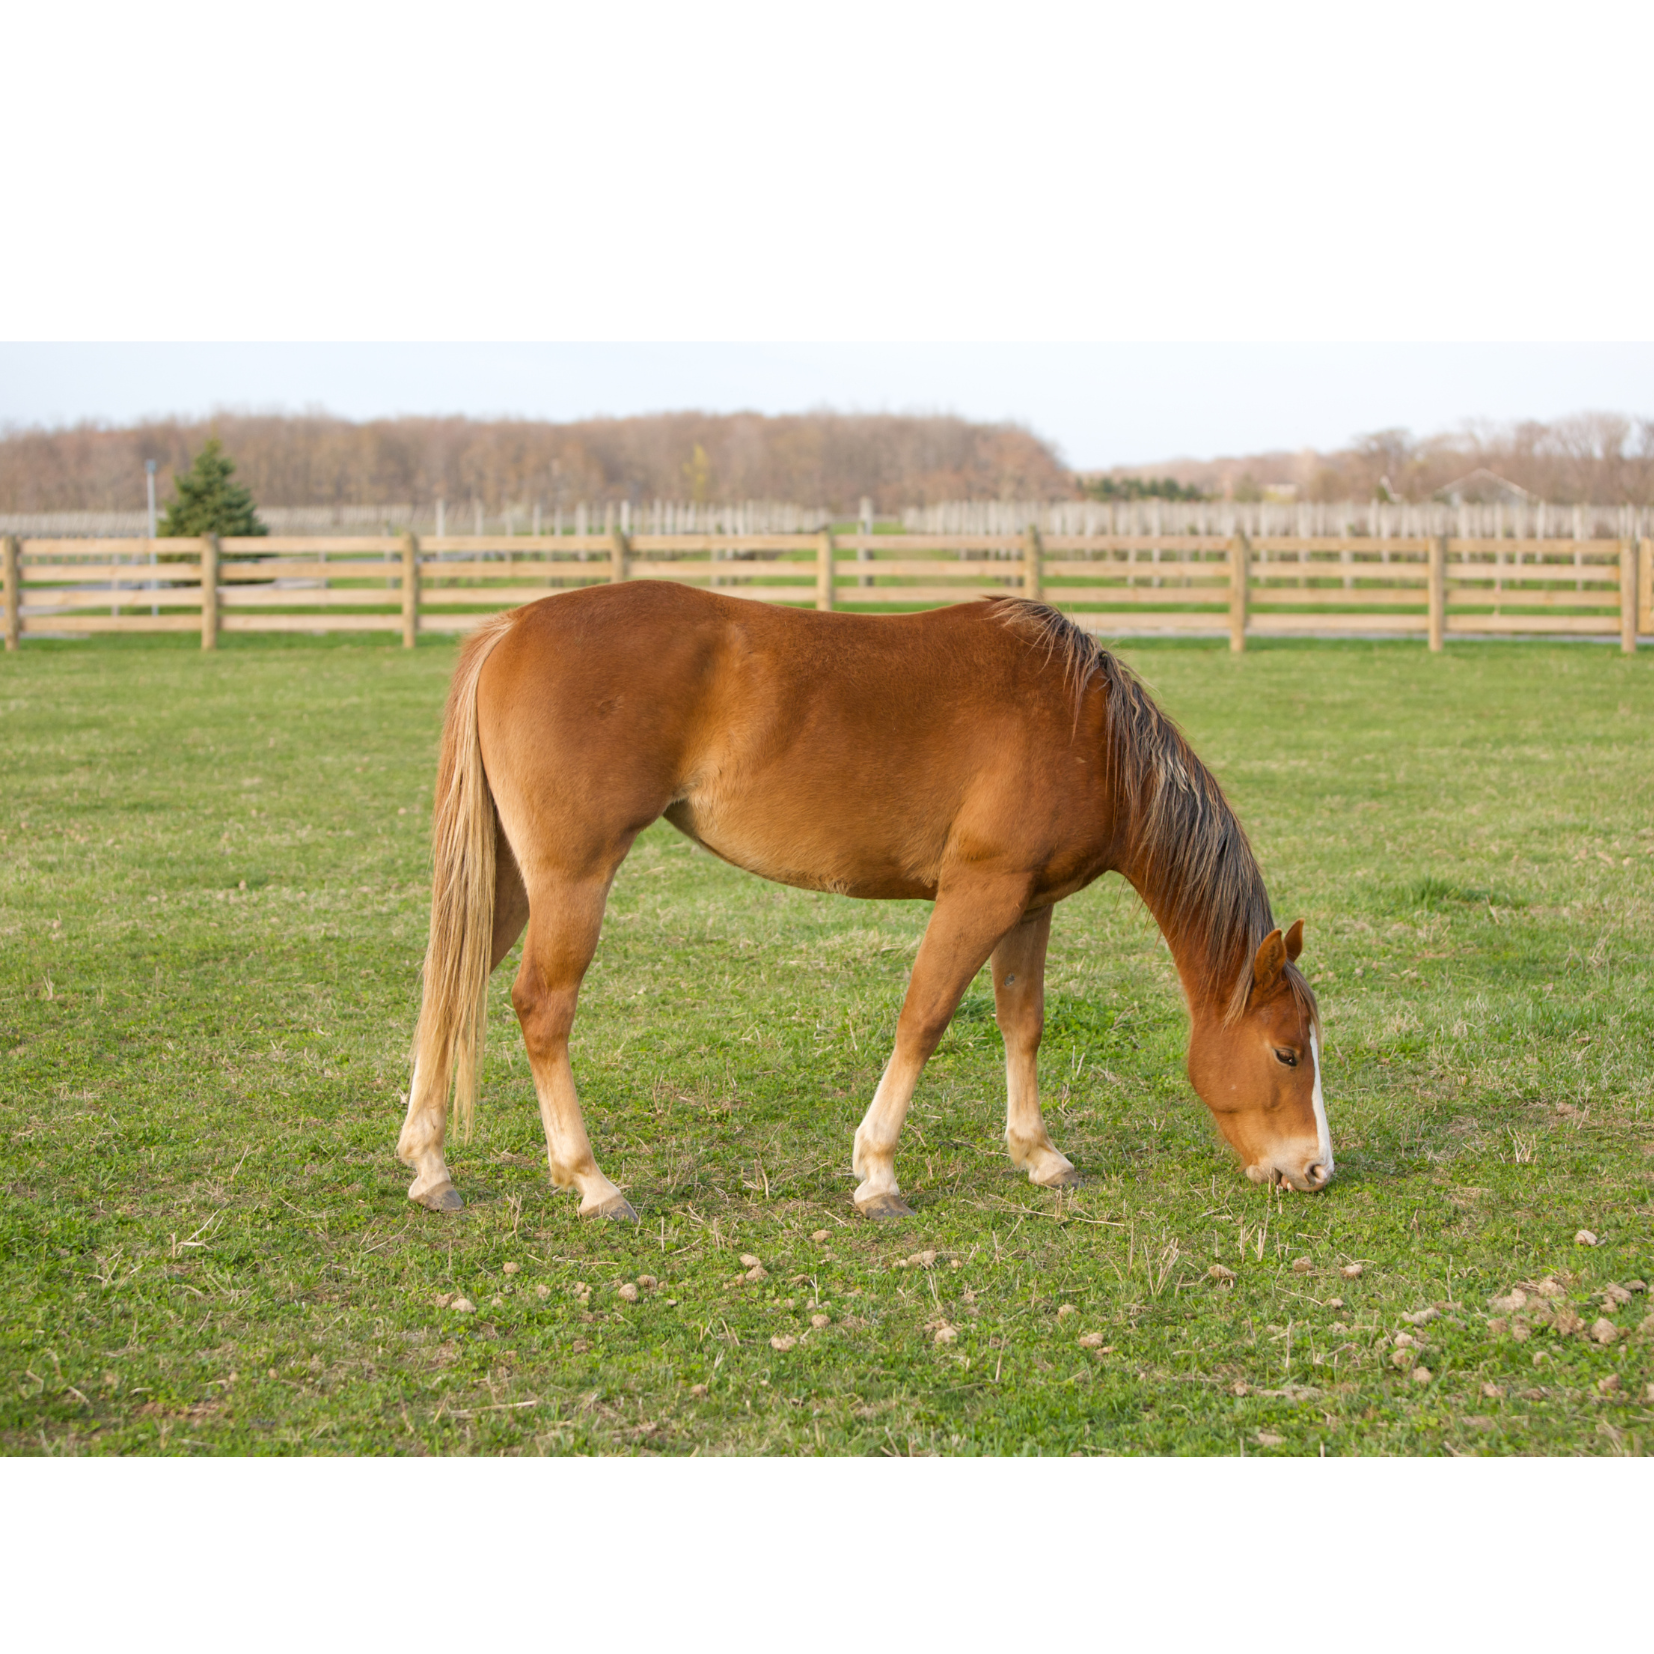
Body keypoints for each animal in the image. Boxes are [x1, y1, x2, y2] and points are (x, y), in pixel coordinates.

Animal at [390, 582, 1329, 1217]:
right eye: (1287, 1053)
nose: (1317, 1169)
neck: (1084, 728)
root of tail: (512, 627)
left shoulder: (1030, 903)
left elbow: (1022, 1022)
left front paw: (1039, 1154)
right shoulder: (980, 891)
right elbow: (926, 1017)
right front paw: (877, 1171)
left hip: (512, 878)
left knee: (449, 982)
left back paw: (430, 1165)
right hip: (573, 879)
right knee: (540, 1007)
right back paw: (590, 1180)